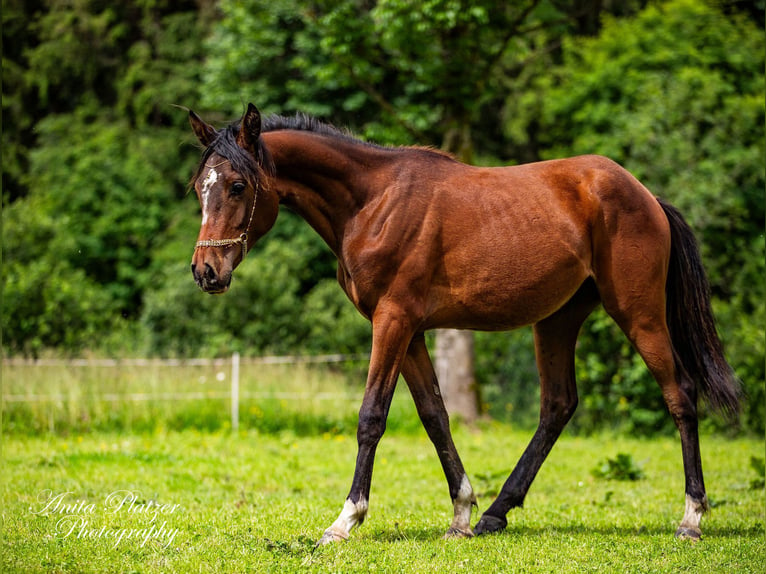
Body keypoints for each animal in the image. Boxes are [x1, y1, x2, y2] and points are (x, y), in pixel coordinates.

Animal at [189, 102, 740, 544]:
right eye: (200, 188)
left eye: (237, 185)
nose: (205, 271)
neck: (372, 202)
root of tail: (645, 195)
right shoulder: (409, 330)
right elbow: (435, 415)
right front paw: (461, 513)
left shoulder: (392, 321)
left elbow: (372, 416)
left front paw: (345, 520)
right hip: (558, 320)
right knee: (558, 405)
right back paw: (496, 513)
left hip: (638, 313)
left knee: (680, 395)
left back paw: (691, 518)